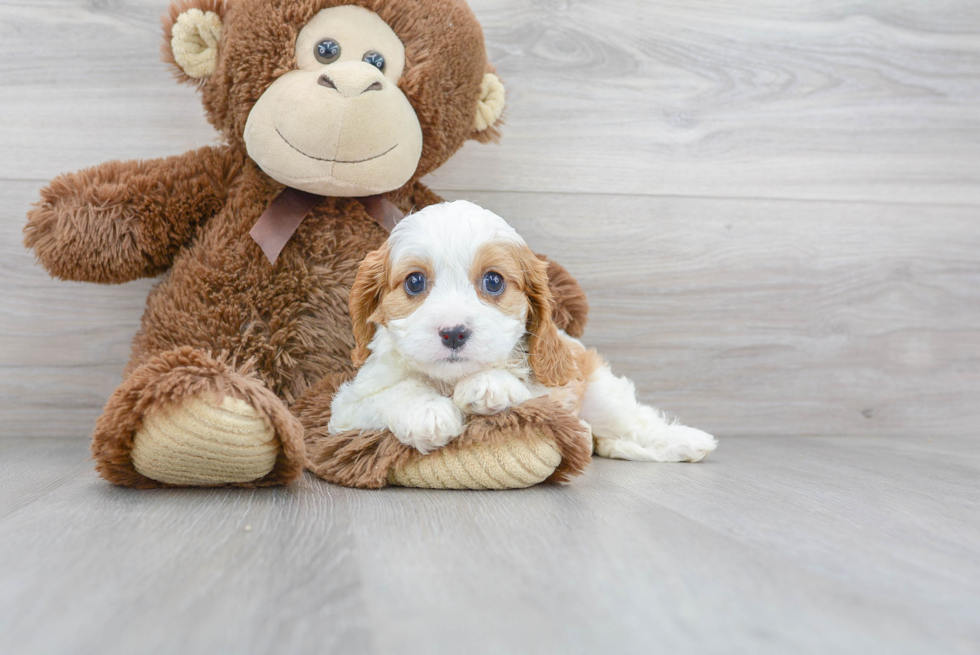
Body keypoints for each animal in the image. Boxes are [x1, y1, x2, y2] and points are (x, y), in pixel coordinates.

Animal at [326, 200, 716, 462]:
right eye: (415, 282)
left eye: (493, 281)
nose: (453, 333)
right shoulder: (346, 410)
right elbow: (394, 392)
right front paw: (427, 412)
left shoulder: (553, 395)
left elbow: (528, 389)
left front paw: (489, 384)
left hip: (601, 393)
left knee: (635, 422)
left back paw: (686, 441)